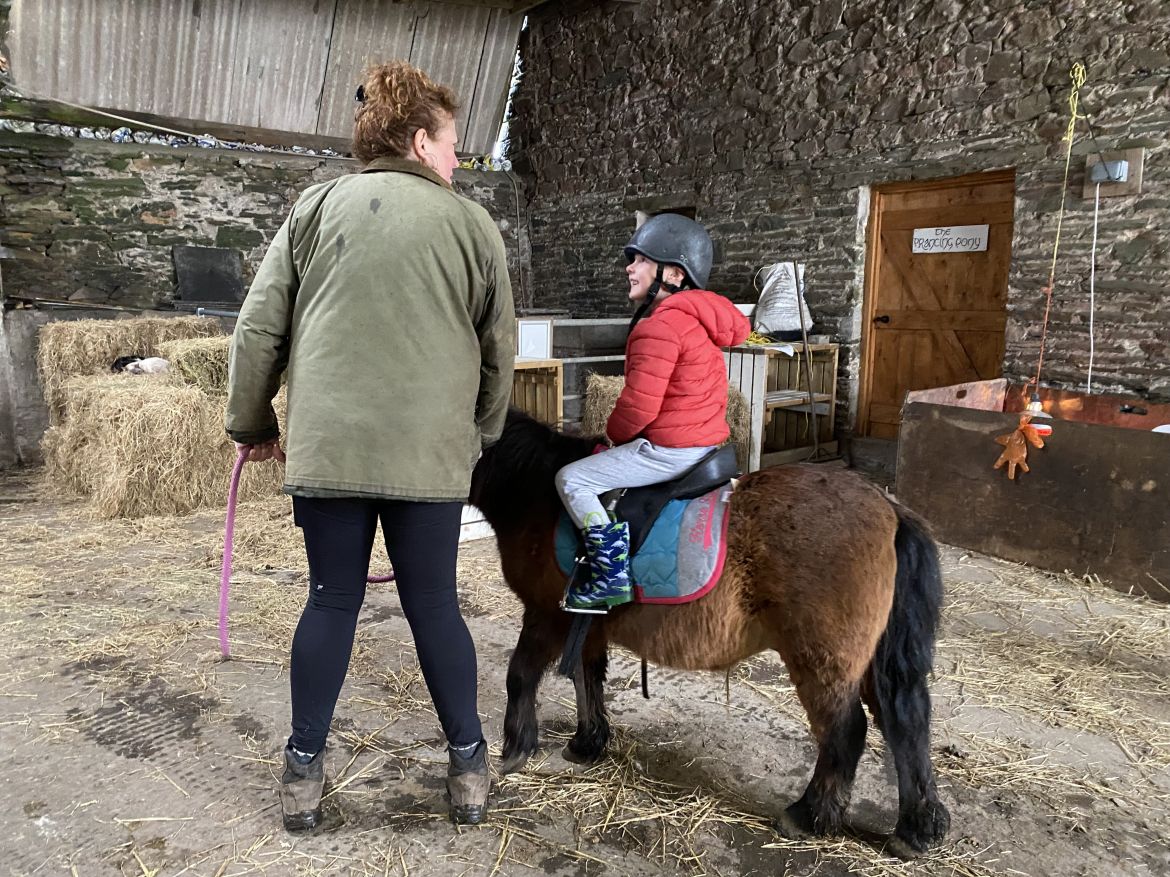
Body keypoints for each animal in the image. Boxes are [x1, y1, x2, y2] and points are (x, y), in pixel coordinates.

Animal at [467, 411, 950, 860]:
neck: (538, 494)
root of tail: (889, 509)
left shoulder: (547, 617)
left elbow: (521, 675)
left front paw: (516, 747)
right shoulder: (586, 624)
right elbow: (587, 682)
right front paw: (588, 744)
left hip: (822, 660)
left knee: (846, 730)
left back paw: (810, 815)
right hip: (870, 664)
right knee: (905, 722)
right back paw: (917, 827)